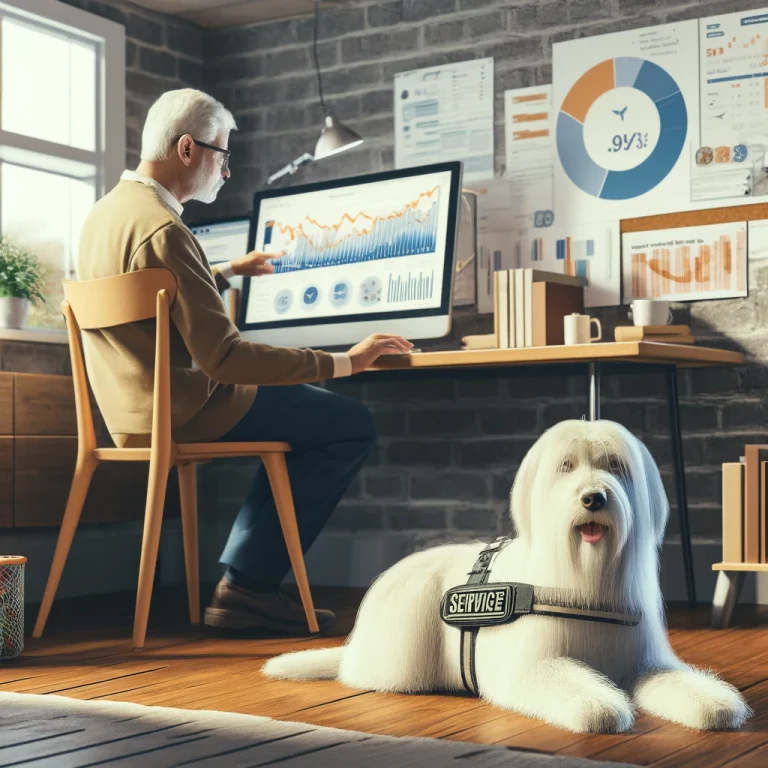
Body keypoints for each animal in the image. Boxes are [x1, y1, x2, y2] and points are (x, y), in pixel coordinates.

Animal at [264, 420, 752, 732]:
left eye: (616, 465)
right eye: (566, 467)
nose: (594, 498)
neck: (585, 573)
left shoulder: (643, 660)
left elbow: (676, 681)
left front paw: (716, 705)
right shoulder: (534, 665)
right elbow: (575, 690)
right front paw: (602, 708)